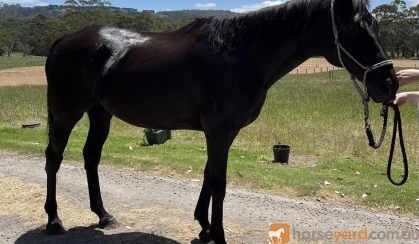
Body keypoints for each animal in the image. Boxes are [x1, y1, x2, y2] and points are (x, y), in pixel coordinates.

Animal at [44, 0, 398, 243]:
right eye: (353, 29)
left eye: (377, 27)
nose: (388, 85)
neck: (240, 54)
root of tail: (62, 40)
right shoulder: (218, 131)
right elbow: (219, 183)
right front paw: (217, 234)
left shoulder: (223, 133)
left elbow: (208, 176)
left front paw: (204, 227)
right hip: (66, 112)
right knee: (54, 158)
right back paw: (54, 221)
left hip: (99, 112)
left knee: (91, 157)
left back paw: (104, 215)